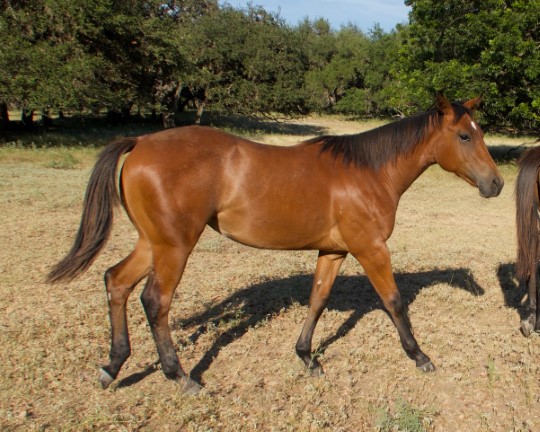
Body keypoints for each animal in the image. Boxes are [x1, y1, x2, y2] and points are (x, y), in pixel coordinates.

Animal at [48, 95, 504, 394]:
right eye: (464, 136)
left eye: (478, 132)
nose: (496, 184)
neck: (368, 172)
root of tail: (140, 142)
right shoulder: (371, 249)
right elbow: (394, 302)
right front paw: (419, 356)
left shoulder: (334, 251)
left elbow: (317, 299)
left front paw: (307, 357)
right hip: (174, 246)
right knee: (155, 301)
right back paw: (181, 377)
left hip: (152, 243)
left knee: (116, 282)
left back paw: (112, 366)